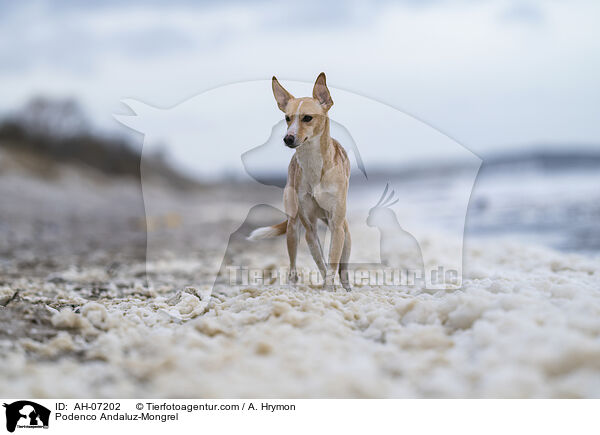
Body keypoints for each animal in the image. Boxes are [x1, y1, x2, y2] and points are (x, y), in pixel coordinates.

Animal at [248, 73, 352, 292]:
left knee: (343, 267)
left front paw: (330, 288)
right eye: (287, 118)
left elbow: (332, 262)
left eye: (307, 117)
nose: (288, 138)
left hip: (345, 232)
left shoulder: (336, 226)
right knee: (293, 266)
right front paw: (326, 287)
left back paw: (347, 288)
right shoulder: (309, 229)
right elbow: (321, 262)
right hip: (293, 228)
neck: (314, 166)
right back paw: (292, 286)